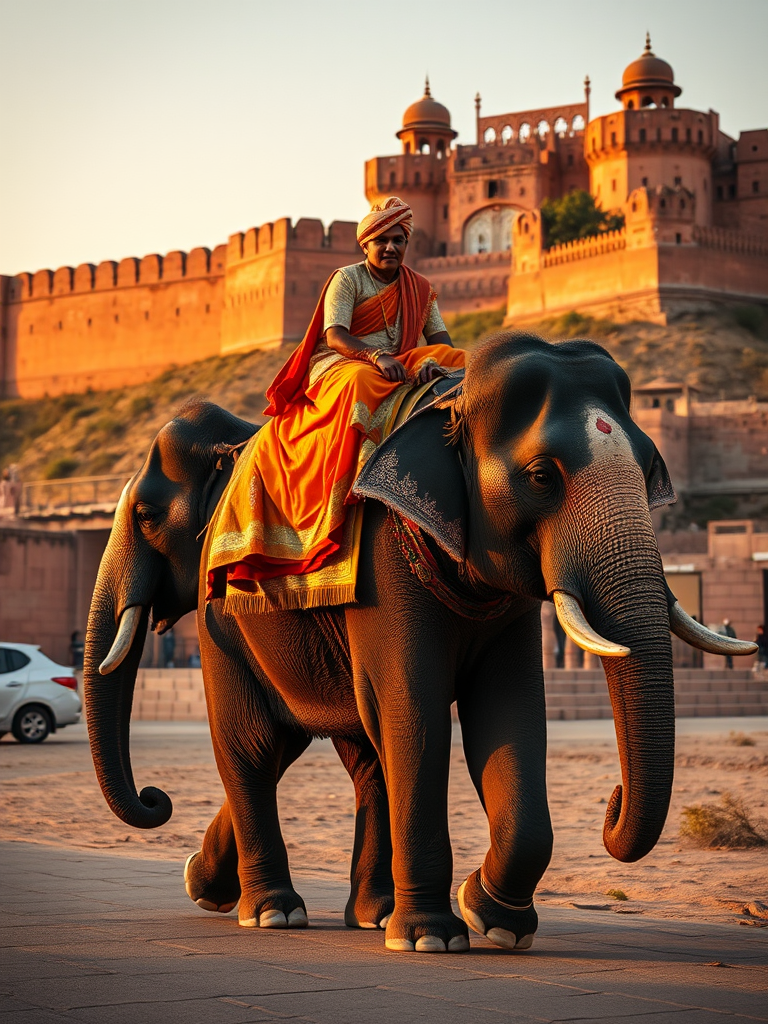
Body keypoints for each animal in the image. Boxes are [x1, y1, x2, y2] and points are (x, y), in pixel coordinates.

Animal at [84, 332, 756, 954]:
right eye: (542, 476)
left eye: (648, 472)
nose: (611, 805)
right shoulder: (369, 562)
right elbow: (414, 714)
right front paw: (435, 938)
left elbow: (506, 715)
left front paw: (492, 919)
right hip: (234, 608)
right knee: (261, 743)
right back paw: (274, 912)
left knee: (346, 750)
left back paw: (346, 911)